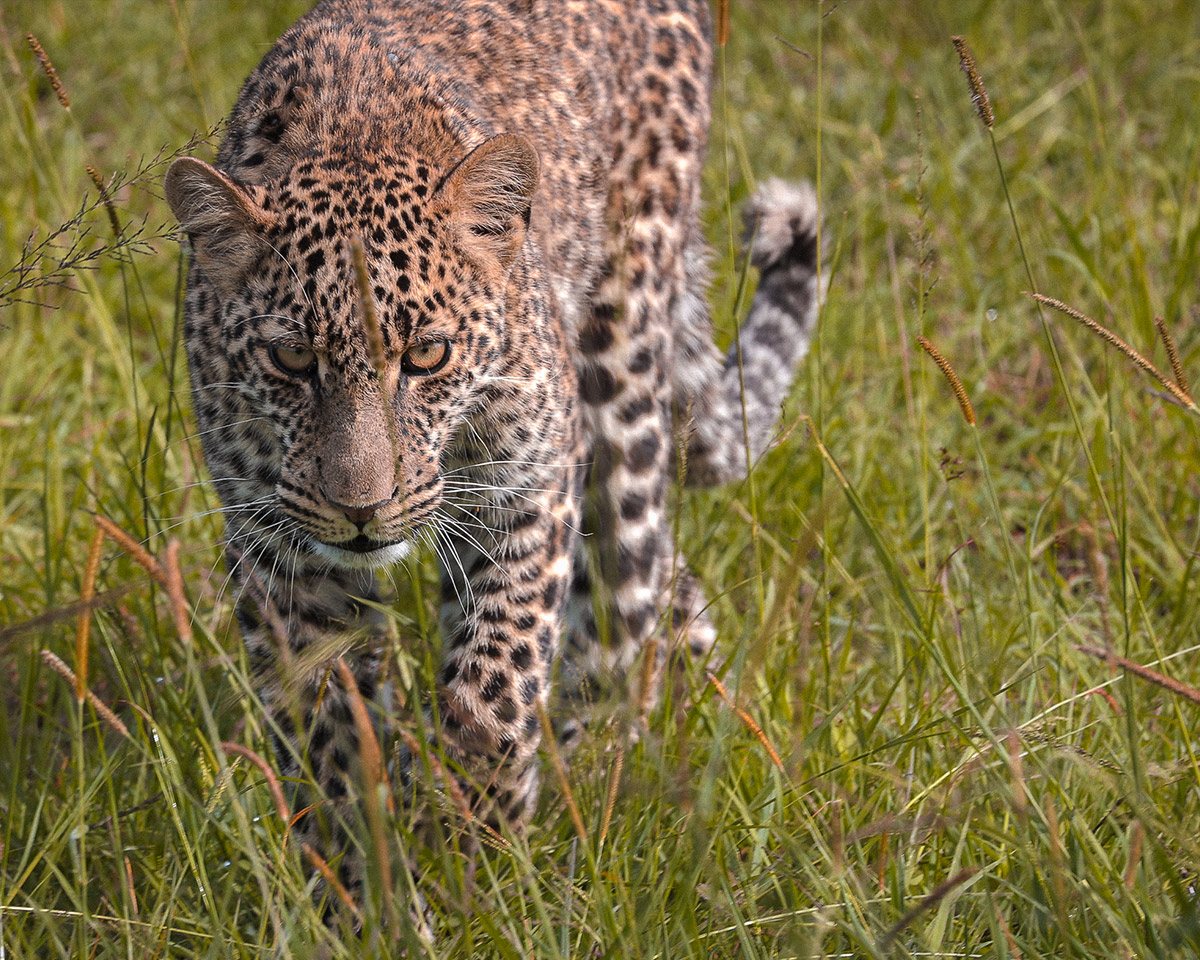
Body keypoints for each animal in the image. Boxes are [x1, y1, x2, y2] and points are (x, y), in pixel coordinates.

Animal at [166, 0, 825, 883]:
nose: (363, 510)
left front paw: (476, 850)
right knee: (666, 591)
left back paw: (599, 784)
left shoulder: (529, 487)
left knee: (625, 609)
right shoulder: (282, 551)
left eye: (428, 355)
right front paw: (363, 882)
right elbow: (328, 733)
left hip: (620, 374)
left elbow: (495, 686)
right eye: (292, 360)